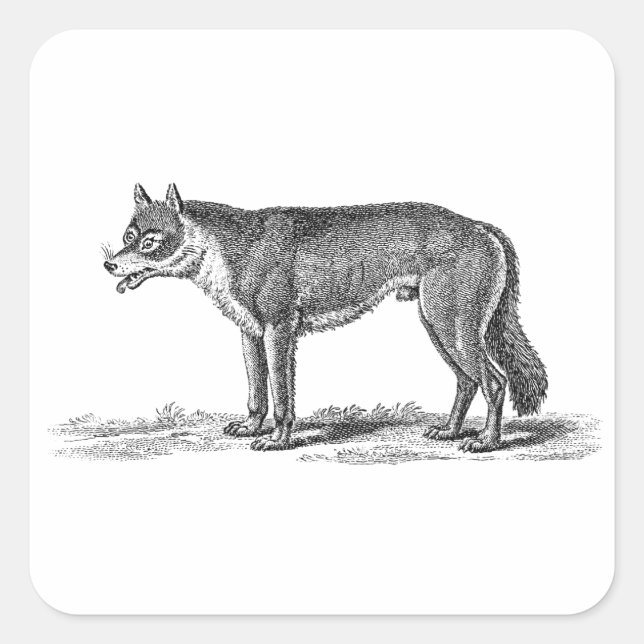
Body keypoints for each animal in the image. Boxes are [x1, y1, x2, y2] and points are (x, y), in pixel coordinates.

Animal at [104, 183, 547, 452]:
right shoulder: (250, 334)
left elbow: (282, 397)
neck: (228, 247)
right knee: (467, 382)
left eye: (150, 243)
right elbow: (256, 394)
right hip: (440, 326)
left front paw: (277, 440)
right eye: (129, 236)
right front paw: (251, 428)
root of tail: (480, 226)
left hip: (453, 327)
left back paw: (486, 441)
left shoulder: (279, 332)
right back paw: (450, 431)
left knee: (494, 382)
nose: (109, 265)